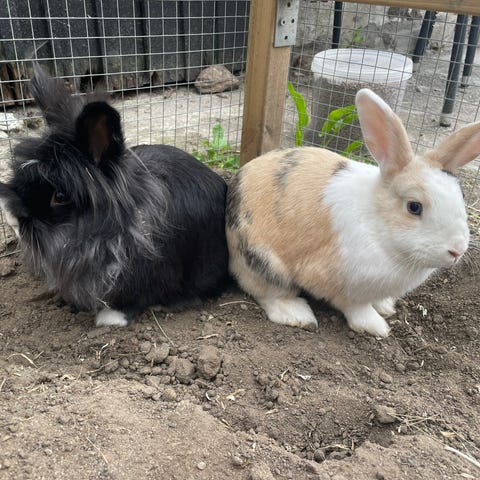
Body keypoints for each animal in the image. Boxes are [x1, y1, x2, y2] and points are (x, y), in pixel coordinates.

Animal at [226, 88, 480, 337]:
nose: (457, 250)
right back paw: (299, 315)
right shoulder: (339, 282)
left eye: (461, 195)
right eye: (414, 206)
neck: (378, 226)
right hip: (264, 264)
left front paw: (386, 307)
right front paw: (377, 327)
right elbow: (355, 307)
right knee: (268, 293)